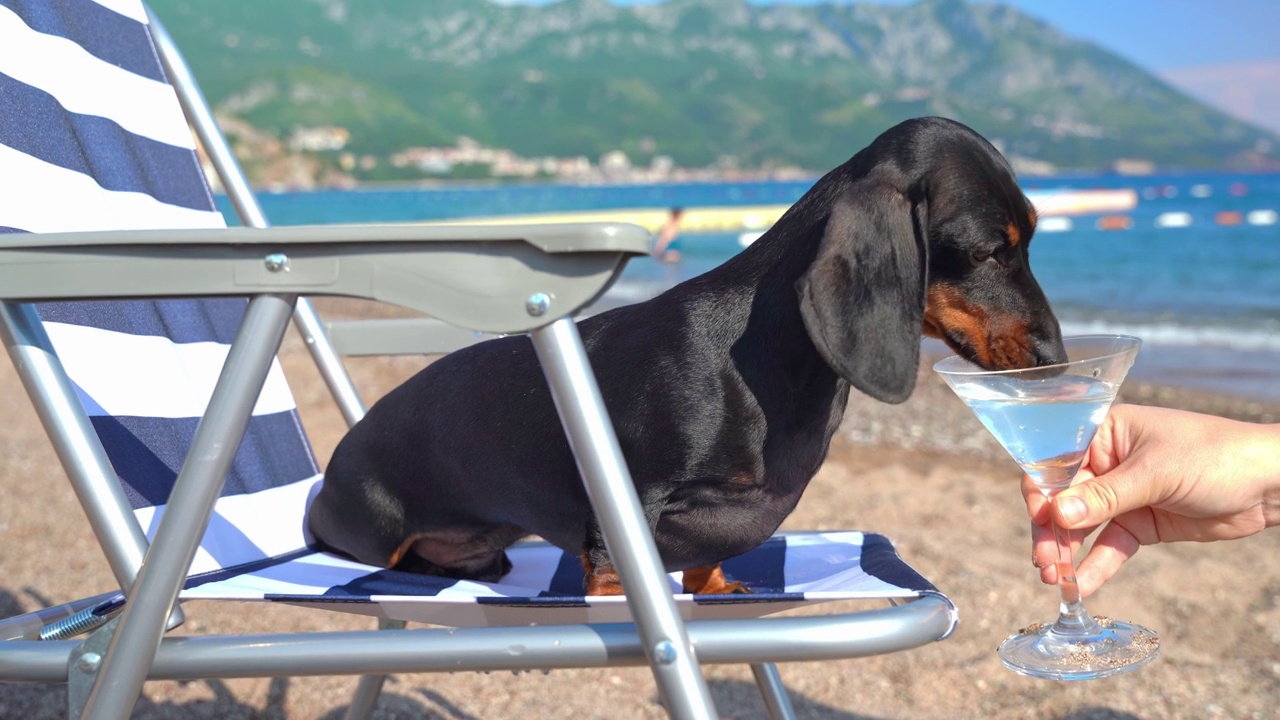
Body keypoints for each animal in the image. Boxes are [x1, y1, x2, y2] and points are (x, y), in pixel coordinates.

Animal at [309, 114, 1070, 591]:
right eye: (988, 250)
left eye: (1034, 235)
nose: (1055, 355)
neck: (761, 363)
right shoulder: (629, 500)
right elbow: (616, 566)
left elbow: (707, 559)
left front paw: (719, 586)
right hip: (373, 527)